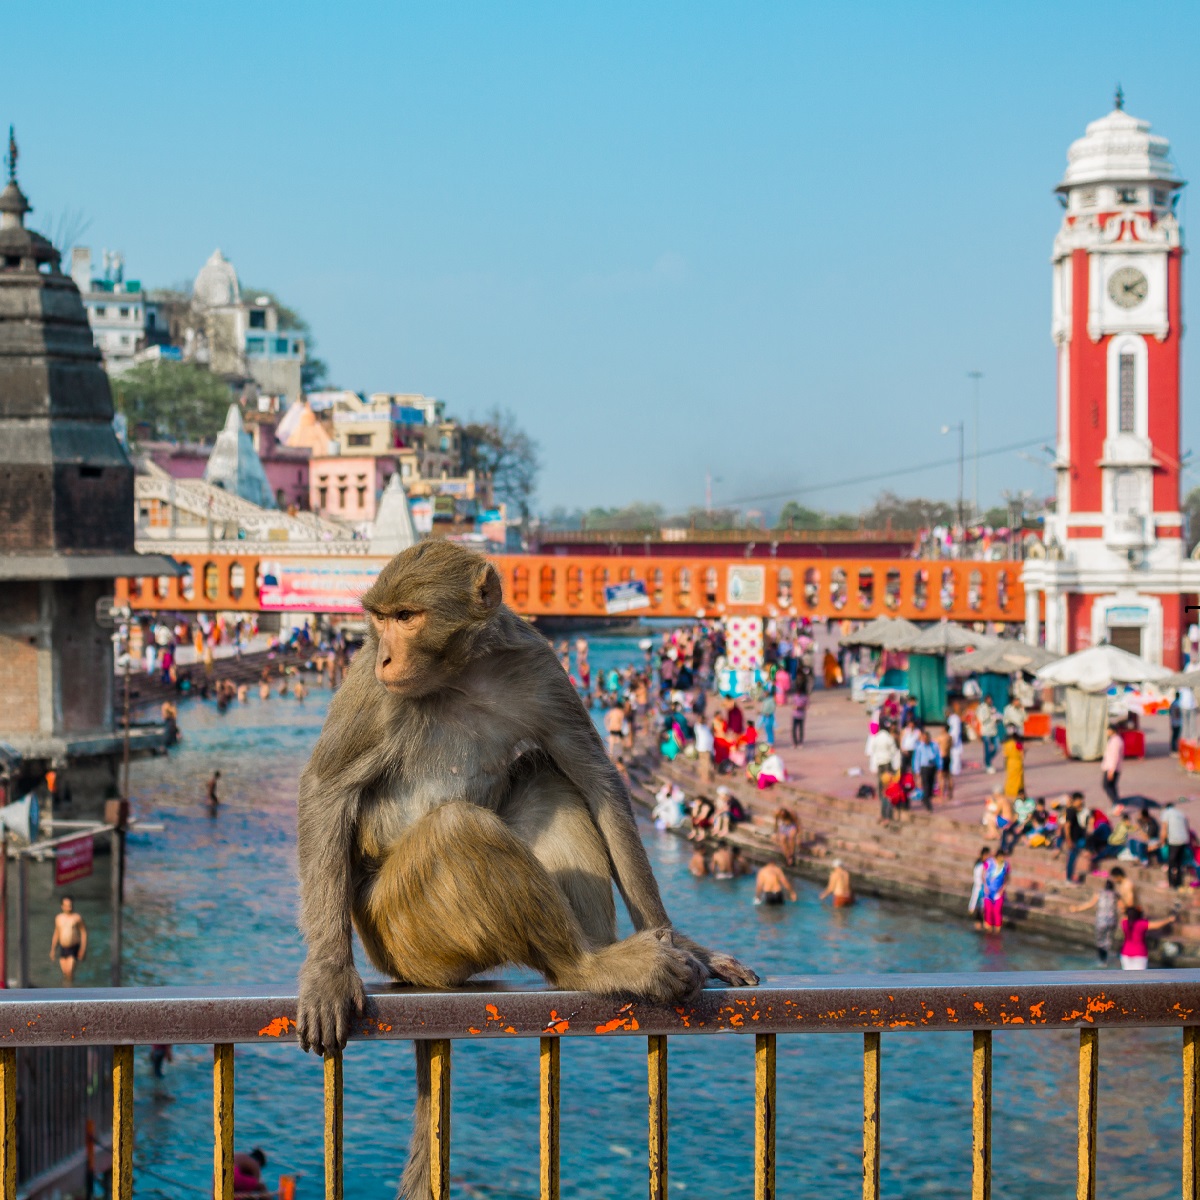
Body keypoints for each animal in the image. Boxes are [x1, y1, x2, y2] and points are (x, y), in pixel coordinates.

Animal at [295, 542, 753, 1200]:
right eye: (380, 619)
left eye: (407, 616)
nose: (382, 653)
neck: (460, 672)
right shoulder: (371, 691)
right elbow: (328, 789)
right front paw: (329, 971)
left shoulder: (538, 668)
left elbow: (594, 778)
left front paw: (686, 940)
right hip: (400, 930)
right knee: (460, 831)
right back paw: (589, 966)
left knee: (545, 780)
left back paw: (601, 957)